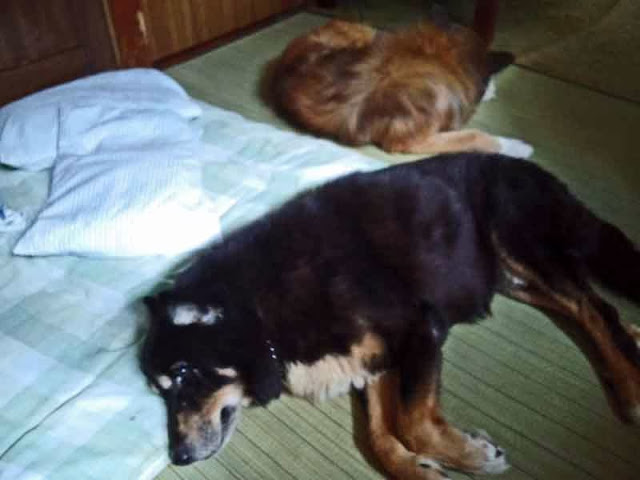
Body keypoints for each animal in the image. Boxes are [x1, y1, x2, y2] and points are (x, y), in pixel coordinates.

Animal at [142, 154, 636, 480]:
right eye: (158, 391)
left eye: (182, 375)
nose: (178, 456)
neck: (260, 311)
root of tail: (542, 174)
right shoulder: (374, 357)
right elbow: (380, 435)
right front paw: (420, 469)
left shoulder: (417, 328)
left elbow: (413, 421)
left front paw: (473, 457)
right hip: (507, 274)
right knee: (579, 303)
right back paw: (631, 339)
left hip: (516, 236)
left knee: (593, 305)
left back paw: (628, 387)